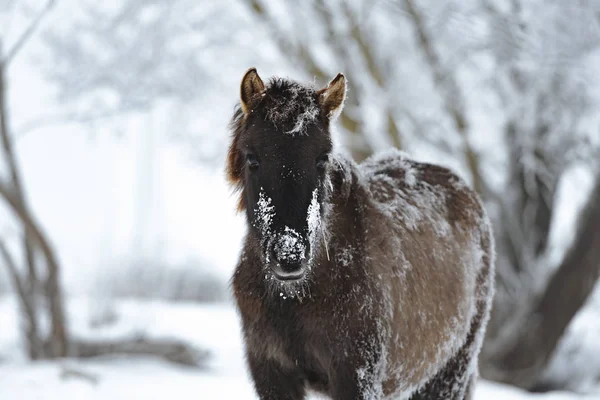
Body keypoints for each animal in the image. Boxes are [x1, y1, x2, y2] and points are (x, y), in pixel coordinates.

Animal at [227, 69, 494, 400]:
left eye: (322, 158)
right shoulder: (272, 374)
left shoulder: (356, 376)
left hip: (450, 373)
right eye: (252, 157)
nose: (289, 255)